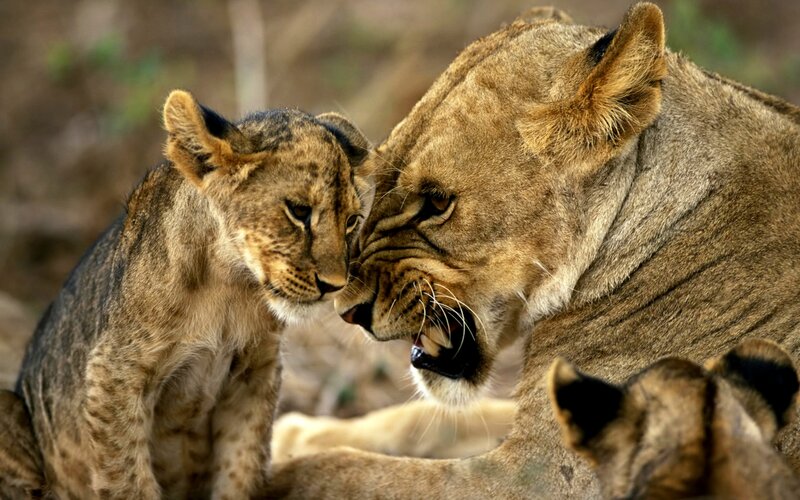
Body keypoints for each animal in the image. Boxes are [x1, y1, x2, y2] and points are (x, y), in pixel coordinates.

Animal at [1, 90, 372, 498]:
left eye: (351, 220)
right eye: (299, 211)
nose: (334, 285)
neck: (229, 284)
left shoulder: (255, 373)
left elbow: (240, 468)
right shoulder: (113, 374)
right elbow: (129, 480)